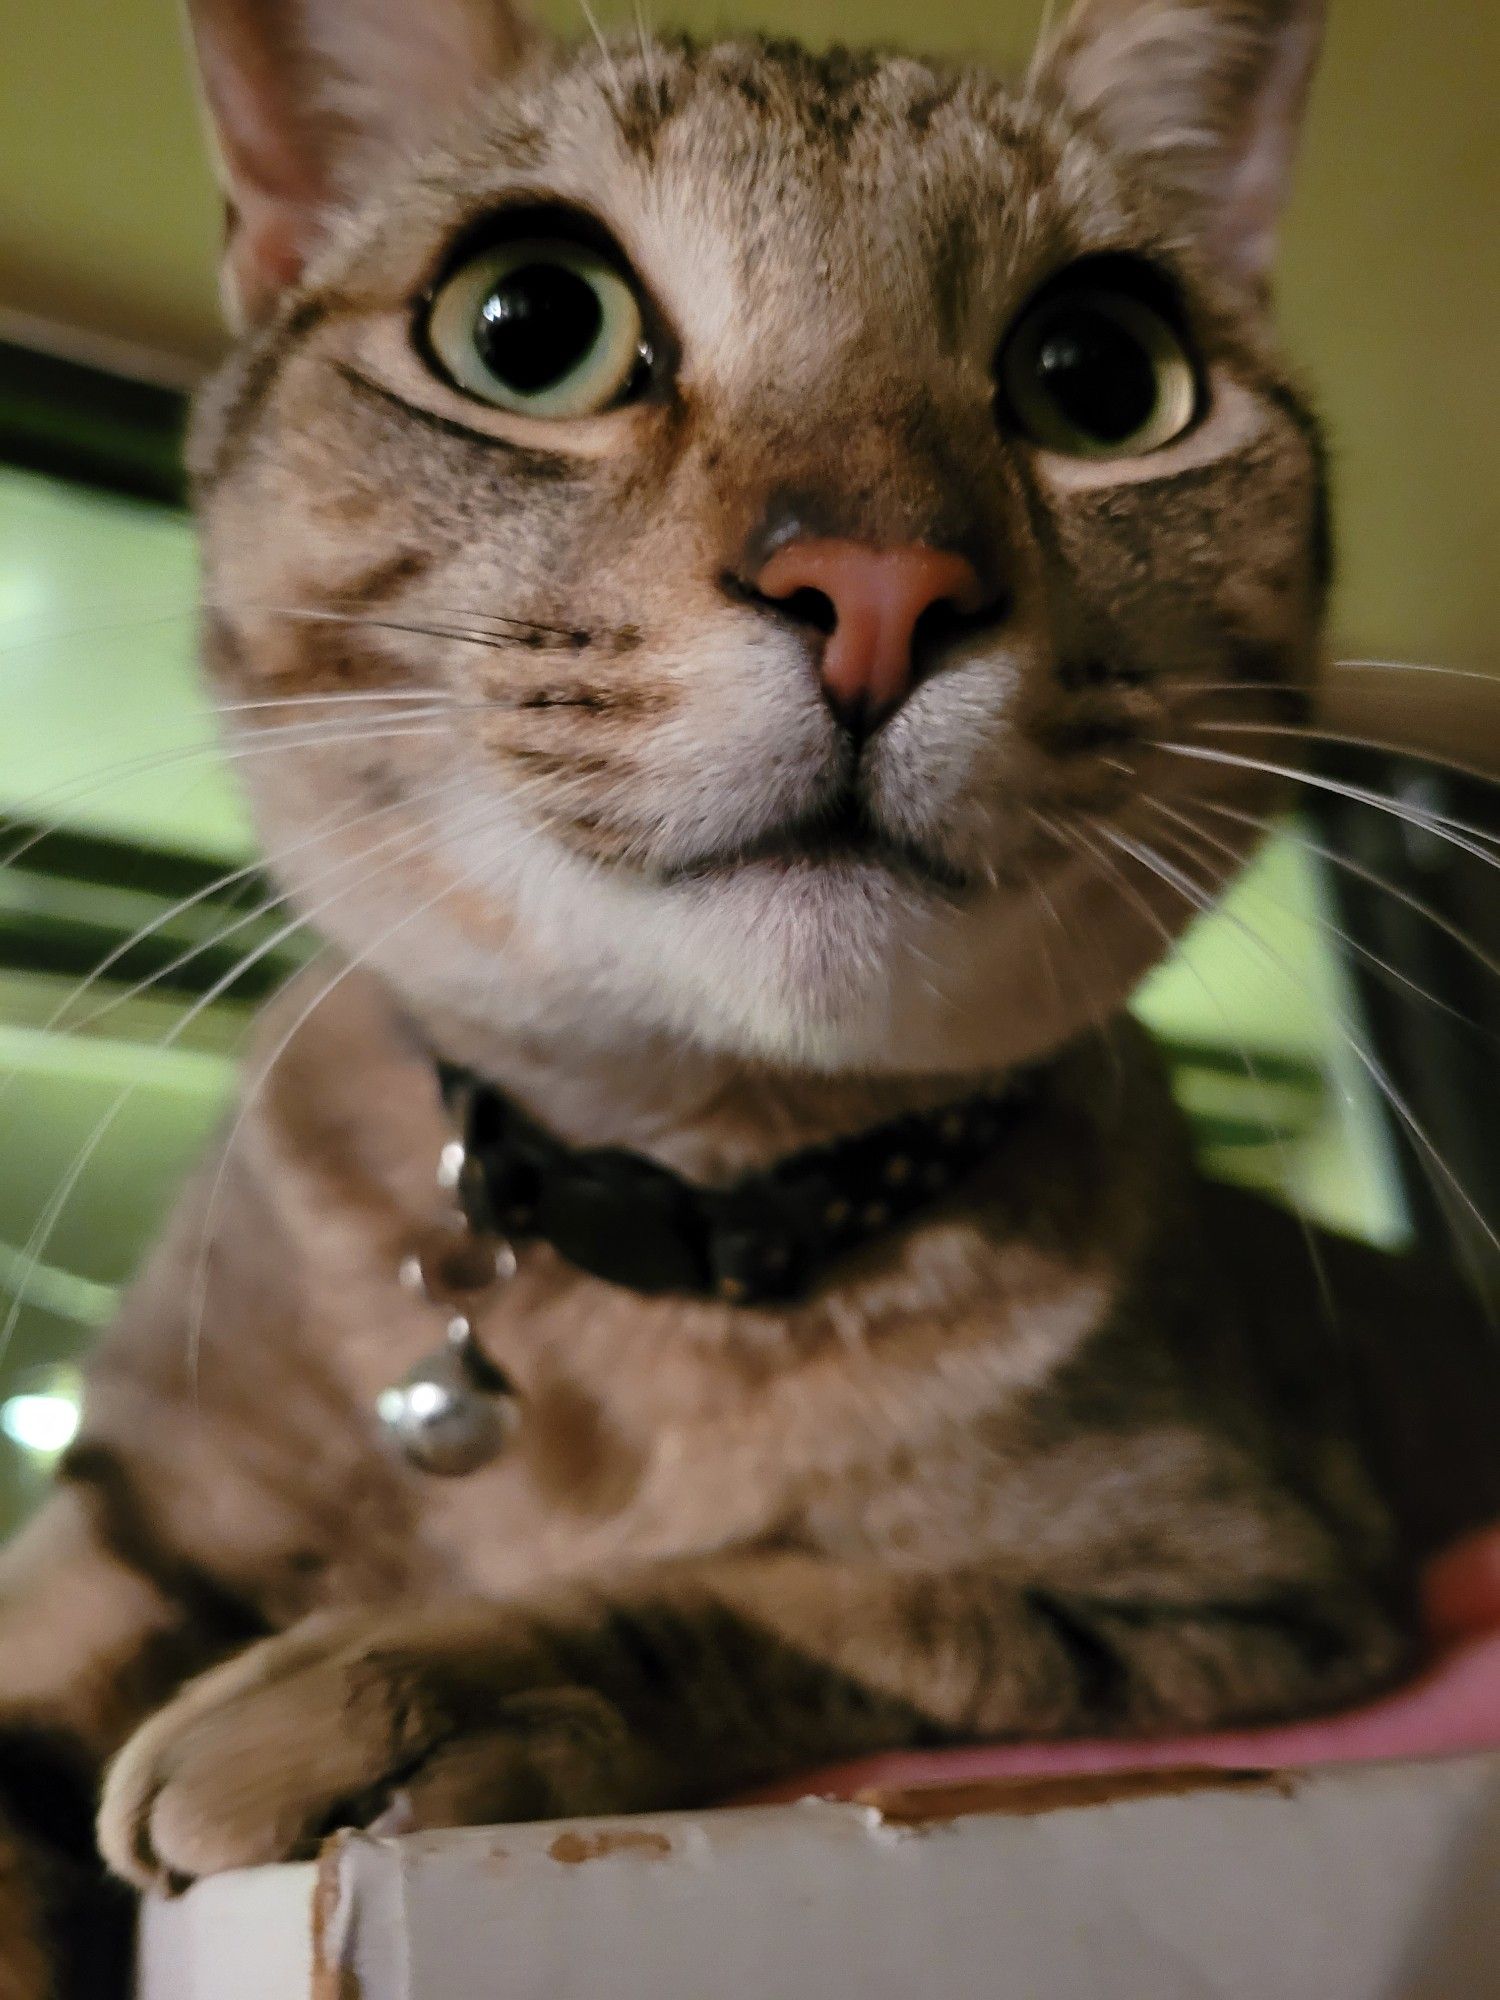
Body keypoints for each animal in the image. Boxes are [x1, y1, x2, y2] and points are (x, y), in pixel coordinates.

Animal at [2, 0, 1496, 1992]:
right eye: (529, 327)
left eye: (1100, 372)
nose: (879, 583)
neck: (680, 1217)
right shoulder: (117, 1516)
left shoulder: (1249, 1581)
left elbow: (838, 1596)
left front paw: (408, 1681)